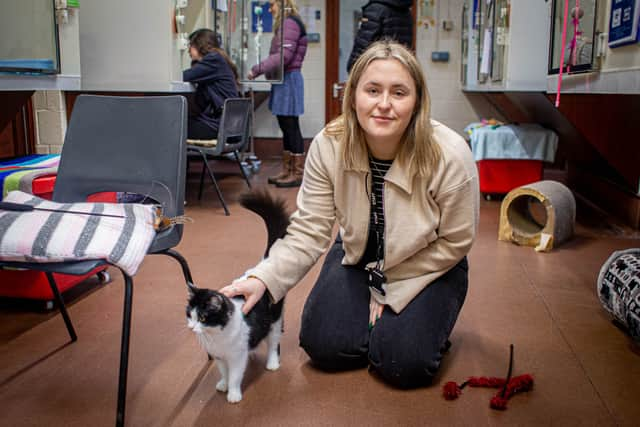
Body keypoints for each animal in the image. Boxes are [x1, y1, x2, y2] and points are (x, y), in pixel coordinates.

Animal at [186, 191, 288, 404]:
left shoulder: (236, 356)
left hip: (275, 321)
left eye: (203, 318)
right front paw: (223, 385)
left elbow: (234, 375)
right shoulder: (219, 357)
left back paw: (272, 363)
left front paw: (233, 394)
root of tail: (265, 263)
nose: (191, 328)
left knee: (274, 342)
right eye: (189, 315)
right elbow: (224, 373)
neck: (216, 336)